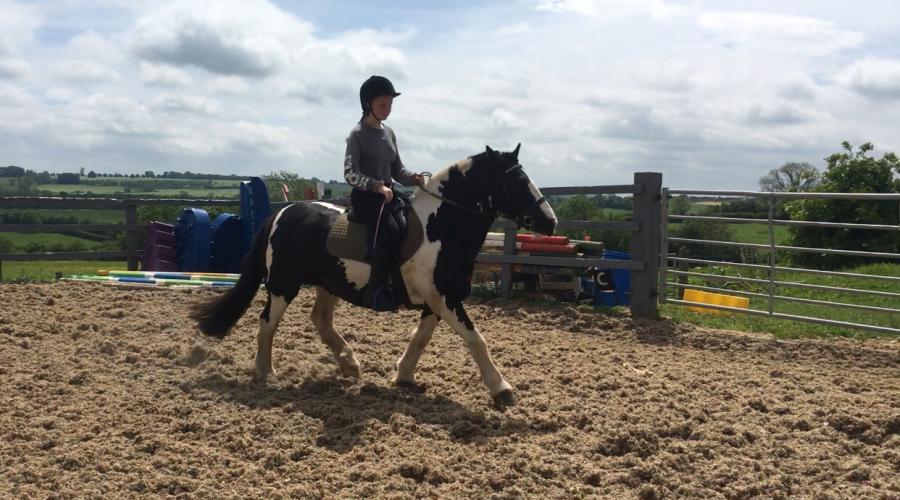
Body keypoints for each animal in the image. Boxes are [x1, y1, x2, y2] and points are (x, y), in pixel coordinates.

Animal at [190, 144, 557, 405]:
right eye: (516, 180)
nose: (550, 222)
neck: (440, 229)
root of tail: (284, 211)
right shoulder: (446, 298)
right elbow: (476, 340)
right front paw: (502, 389)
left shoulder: (437, 300)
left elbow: (421, 338)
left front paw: (404, 376)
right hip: (283, 285)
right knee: (268, 323)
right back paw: (265, 371)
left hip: (329, 284)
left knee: (320, 319)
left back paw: (349, 365)